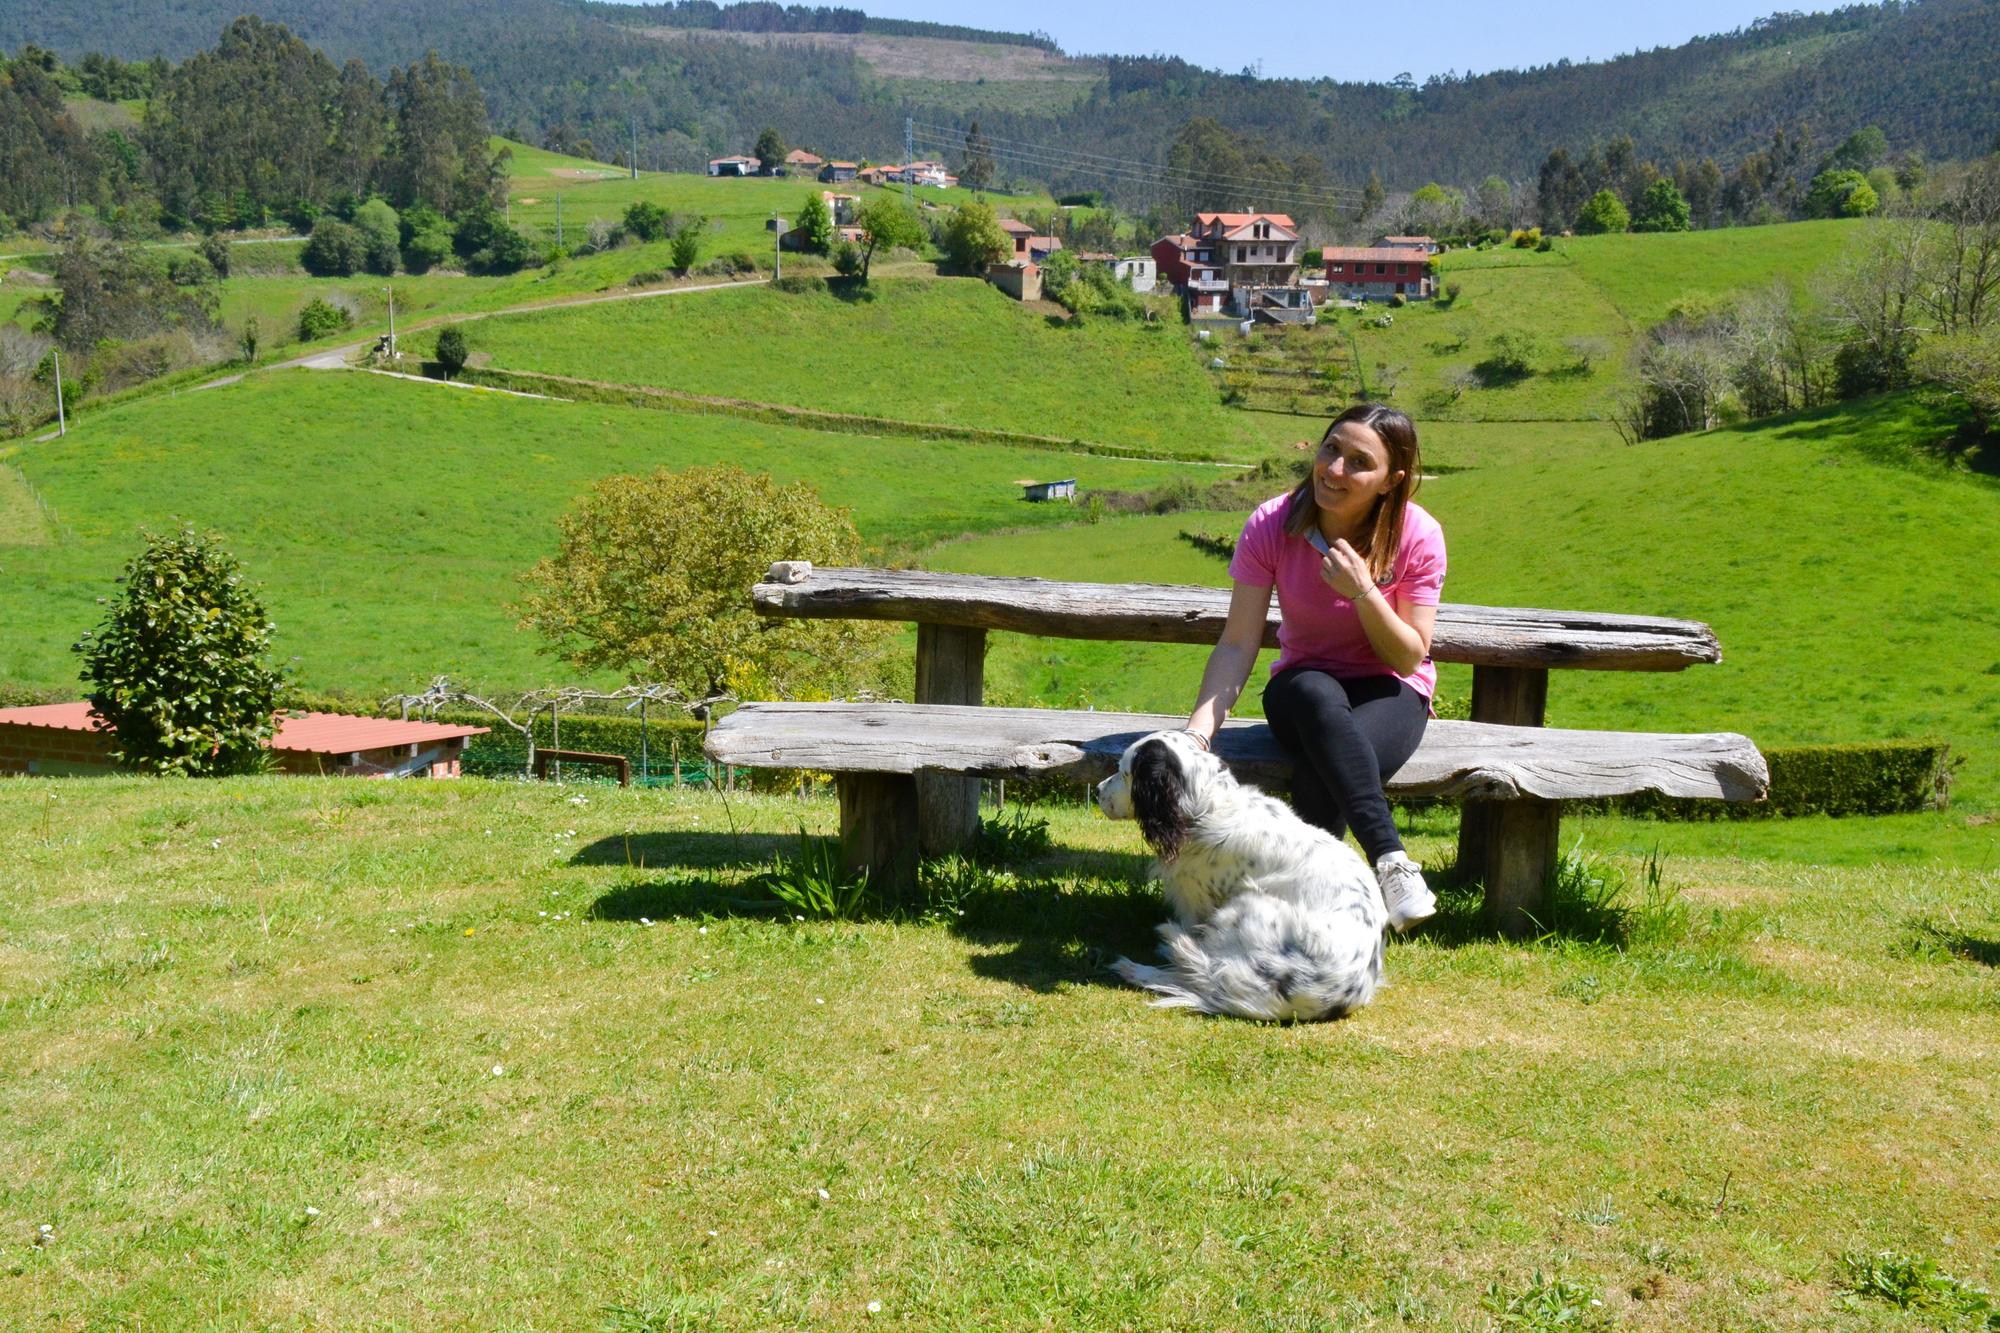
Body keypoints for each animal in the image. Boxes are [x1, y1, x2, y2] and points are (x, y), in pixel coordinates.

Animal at [1096, 728, 1392, 1016]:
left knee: (1203, 977)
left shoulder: (1196, 900)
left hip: (1245, 905)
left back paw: (1136, 968)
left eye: (1124, 773)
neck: (1205, 807)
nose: (1098, 790)